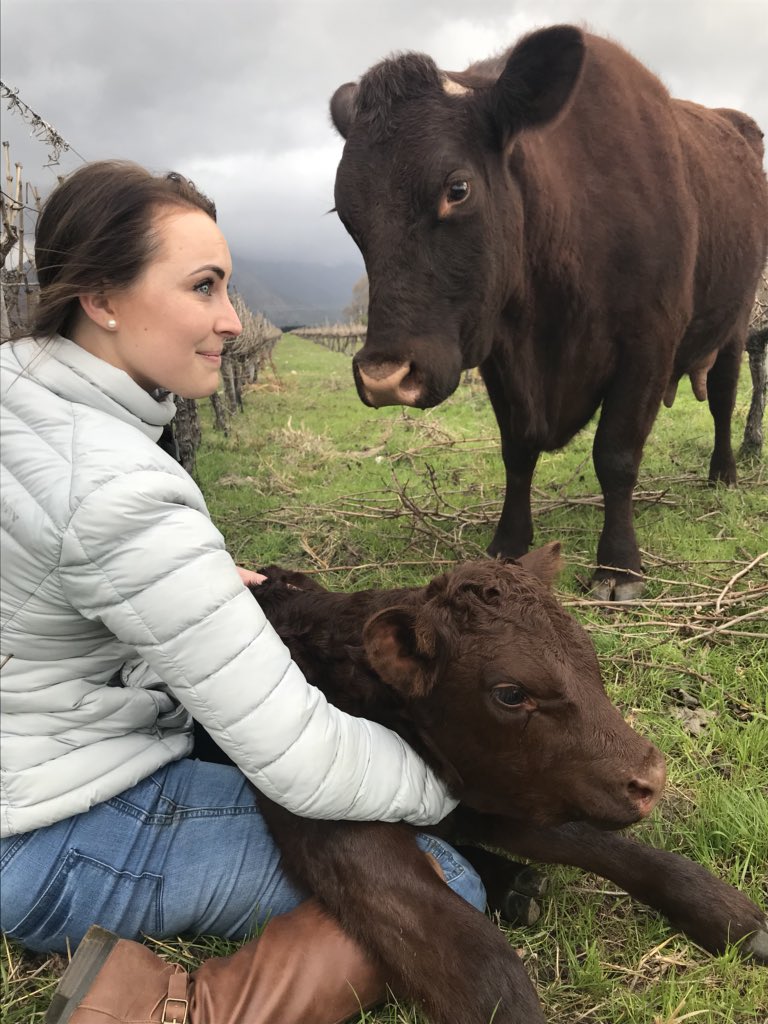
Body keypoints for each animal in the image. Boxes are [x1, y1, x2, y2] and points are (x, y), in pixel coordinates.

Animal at [194, 545, 767, 1024]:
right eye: (511, 693)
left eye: (590, 655)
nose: (652, 778)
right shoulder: (333, 820)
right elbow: (482, 960)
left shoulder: (501, 785)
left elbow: (608, 845)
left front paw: (734, 918)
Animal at [328, 25, 768, 600]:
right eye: (345, 211)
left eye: (457, 188)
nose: (384, 376)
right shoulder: (499, 352)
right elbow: (516, 453)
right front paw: (508, 544)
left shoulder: (648, 343)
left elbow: (616, 455)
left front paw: (618, 567)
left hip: (735, 324)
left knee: (722, 399)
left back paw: (724, 474)